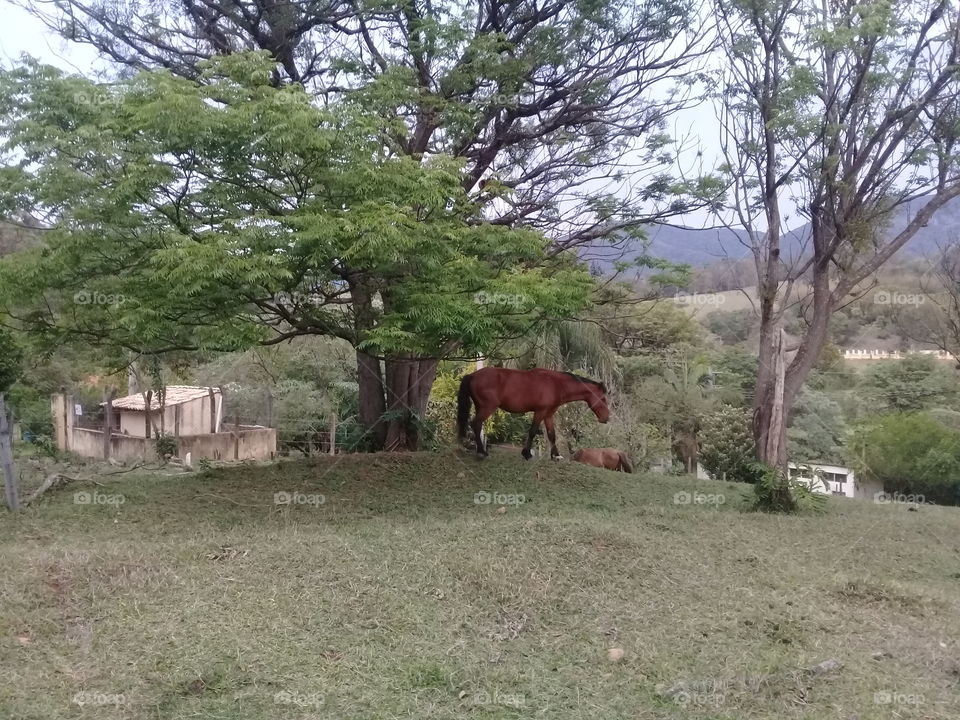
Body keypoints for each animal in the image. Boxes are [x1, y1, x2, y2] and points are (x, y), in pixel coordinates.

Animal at [456, 366, 608, 462]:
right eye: (603, 398)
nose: (606, 418)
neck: (556, 384)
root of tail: (472, 375)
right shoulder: (540, 412)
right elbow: (533, 431)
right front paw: (527, 453)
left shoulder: (548, 414)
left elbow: (552, 434)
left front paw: (556, 456)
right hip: (487, 408)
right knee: (476, 424)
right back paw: (482, 452)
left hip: (480, 407)